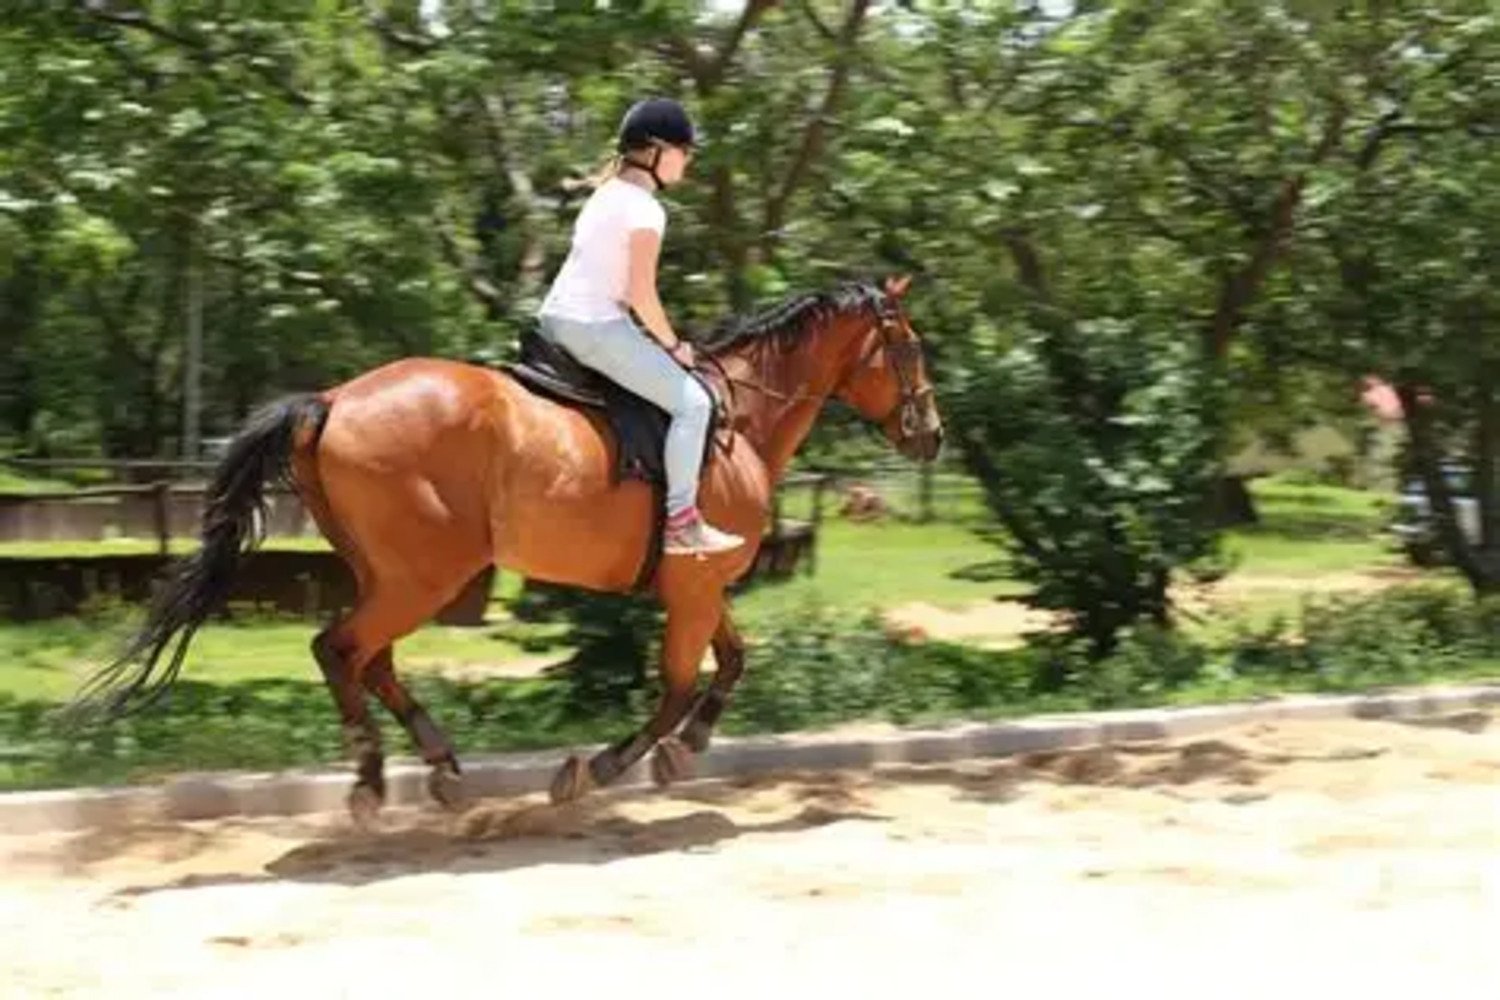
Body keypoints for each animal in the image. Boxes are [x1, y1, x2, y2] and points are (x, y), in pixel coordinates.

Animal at [67, 274, 944, 821]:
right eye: (908, 347)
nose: (931, 434)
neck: (738, 420)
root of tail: (331, 400)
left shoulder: (698, 584)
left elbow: (729, 663)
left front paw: (684, 751)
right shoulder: (695, 586)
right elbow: (674, 687)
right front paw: (599, 770)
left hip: (390, 573)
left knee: (368, 660)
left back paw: (441, 769)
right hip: (423, 576)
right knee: (340, 649)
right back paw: (373, 780)